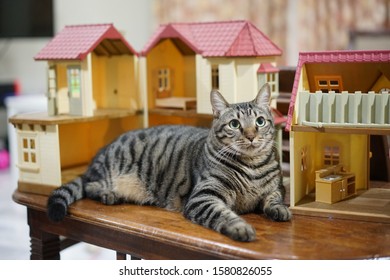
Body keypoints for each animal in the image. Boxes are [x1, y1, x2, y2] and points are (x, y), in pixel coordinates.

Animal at [46, 82, 290, 241]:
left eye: (260, 121)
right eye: (234, 125)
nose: (250, 136)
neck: (252, 166)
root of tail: (99, 154)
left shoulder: (275, 188)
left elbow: (274, 199)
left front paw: (280, 210)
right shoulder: (204, 196)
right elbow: (223, 214)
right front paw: (241, 228)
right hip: (108, 171)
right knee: (89, 185)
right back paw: (109, 194)